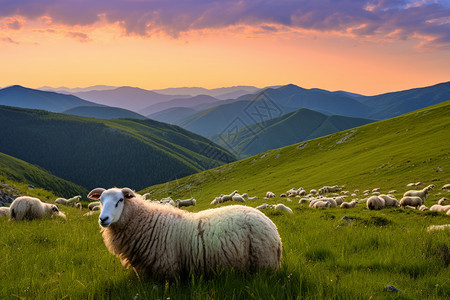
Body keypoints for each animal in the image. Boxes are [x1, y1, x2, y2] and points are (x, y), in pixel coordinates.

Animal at [87, 188, 282, 278]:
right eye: (101, 200)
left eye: (120, 200)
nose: (103, 219)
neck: (147, 222)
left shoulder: (167, 270)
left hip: (264, 263)